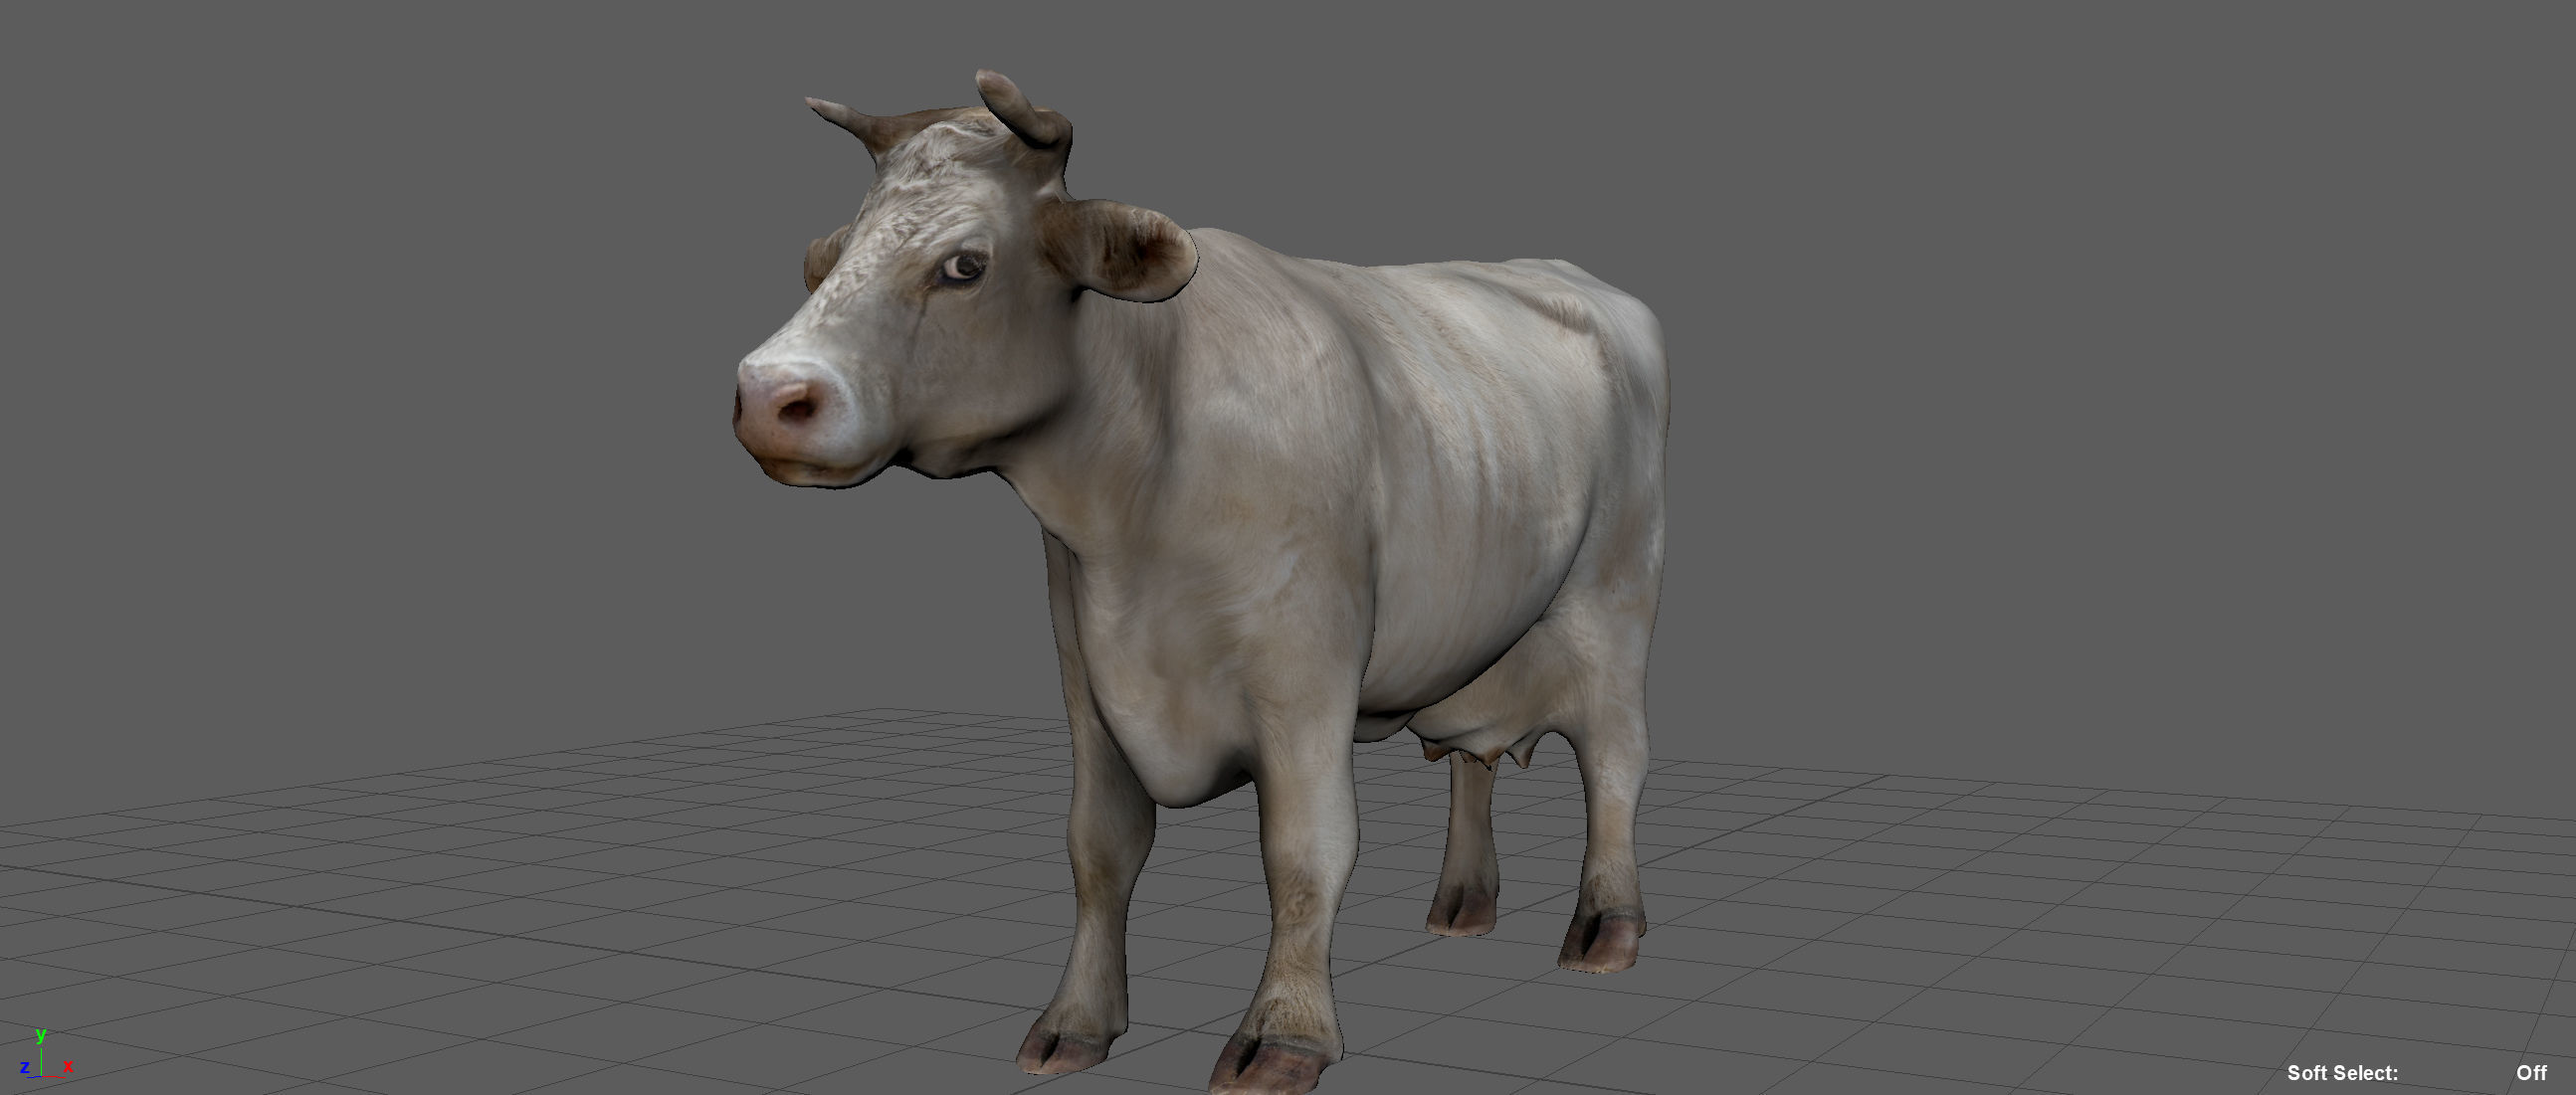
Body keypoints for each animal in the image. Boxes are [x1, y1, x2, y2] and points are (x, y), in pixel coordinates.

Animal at [733, 71, 1668, 1095]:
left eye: (965, 265)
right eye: (828, 261)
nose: (766, 393)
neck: (1138, 500)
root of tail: (1570, 275)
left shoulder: (1304, 673)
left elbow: (1305, 849)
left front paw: (1285, 1034)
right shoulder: (1084, 666)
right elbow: (1098, 845)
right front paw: (1075, 1023)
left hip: (1615, 598)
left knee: (1614, 758)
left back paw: (1606, 928)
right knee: (1474, 756)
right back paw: (1461, 902)